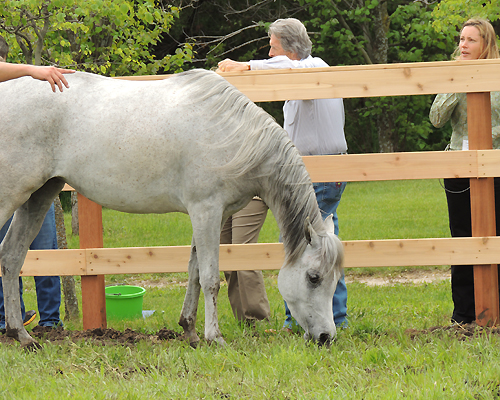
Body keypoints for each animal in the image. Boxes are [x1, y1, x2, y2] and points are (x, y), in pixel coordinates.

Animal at [0, 70, 344, 348]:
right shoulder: (206, 211)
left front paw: (189, 330)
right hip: (13, 196)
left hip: (39, 196)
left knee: (11, 258)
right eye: (313, 277)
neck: (234, 135)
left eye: (335, 279)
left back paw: (23, 335)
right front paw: (214, 337)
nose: (326, 337)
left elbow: (194, 272)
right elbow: (210, 277)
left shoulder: (209, 215)